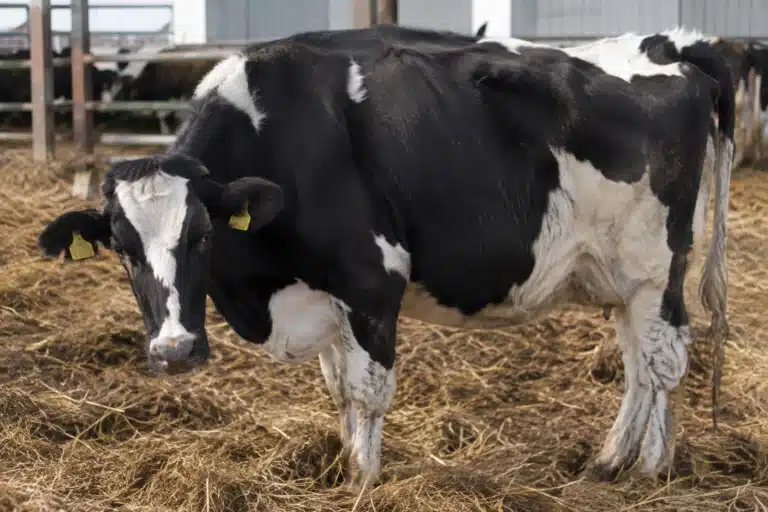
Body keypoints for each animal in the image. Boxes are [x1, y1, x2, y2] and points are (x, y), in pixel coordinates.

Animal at [37, 25, 728, 489]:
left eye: (202, 235)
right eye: (123, 249)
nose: (175, 351)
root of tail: (670, 47)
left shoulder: (371, 283)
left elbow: (368, 391)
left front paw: (362, 480)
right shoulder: (327, 298)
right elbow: (341, 390)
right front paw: (345, 463)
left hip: (655, 264)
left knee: (665, 362)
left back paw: (653, 467)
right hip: (617, 277)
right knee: (638, 363)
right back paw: (611, 459)